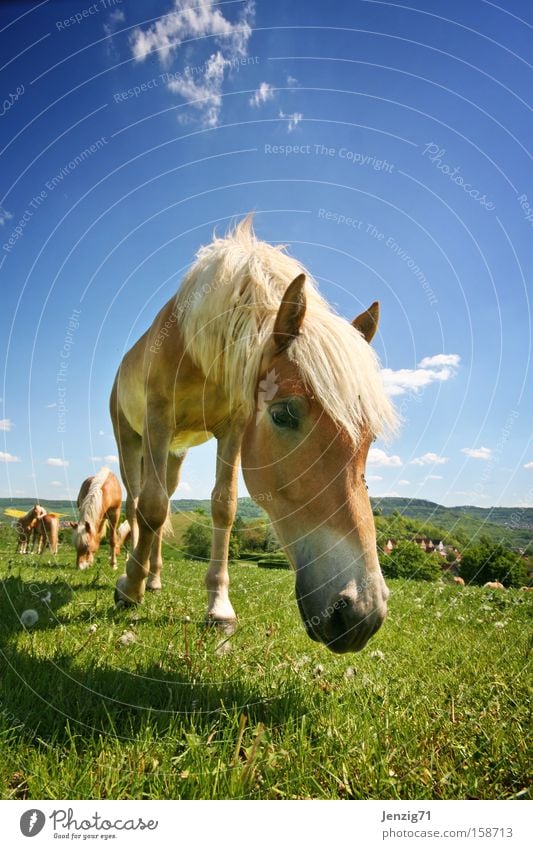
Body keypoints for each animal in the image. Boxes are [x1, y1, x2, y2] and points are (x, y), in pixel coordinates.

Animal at [111, 215, 394, 652]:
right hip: (130, 440)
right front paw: (129, 588)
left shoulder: (234, 428)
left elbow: (223, 507)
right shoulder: (159, 420)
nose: (362, 614)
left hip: (175, 453)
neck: (198, 347)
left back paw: (154, 577)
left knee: (166, 500)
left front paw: (218, 608)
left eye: (369, 440)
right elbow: (152, 507)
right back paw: (133, 575)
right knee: (137, 501)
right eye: (283, 414)